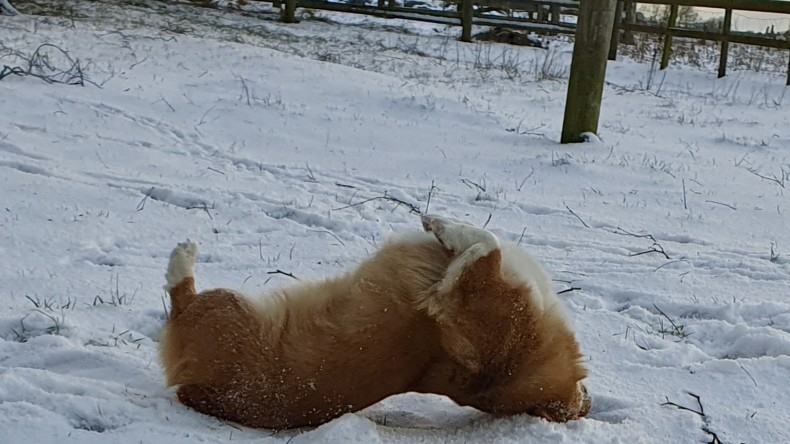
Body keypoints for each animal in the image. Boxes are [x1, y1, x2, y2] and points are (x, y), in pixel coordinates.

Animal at [161, 213, 592, 428]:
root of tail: (191, 387)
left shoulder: (478, 295)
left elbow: (486, 243)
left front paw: (441, 225)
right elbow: (487, 242)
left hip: (224, 306)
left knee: (180, 295)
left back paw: (183, 256)